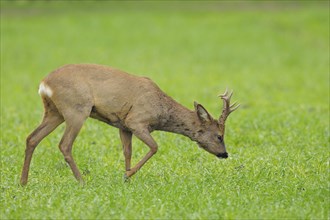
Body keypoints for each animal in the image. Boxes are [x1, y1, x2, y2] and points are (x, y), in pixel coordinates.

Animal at [20, 64, 238, 186]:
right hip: (76, 109)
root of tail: (44, 84)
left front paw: (127, 177)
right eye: (219, 135)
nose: (224, 154)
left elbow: (127, 151)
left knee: (32, 138)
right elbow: (155, 147)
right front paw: (128, 174)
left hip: (53, 112)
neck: (161, 109)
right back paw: (81, 181)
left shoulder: (123, 126)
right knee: (64, 144)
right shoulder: (137, 121)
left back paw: (23, 182)